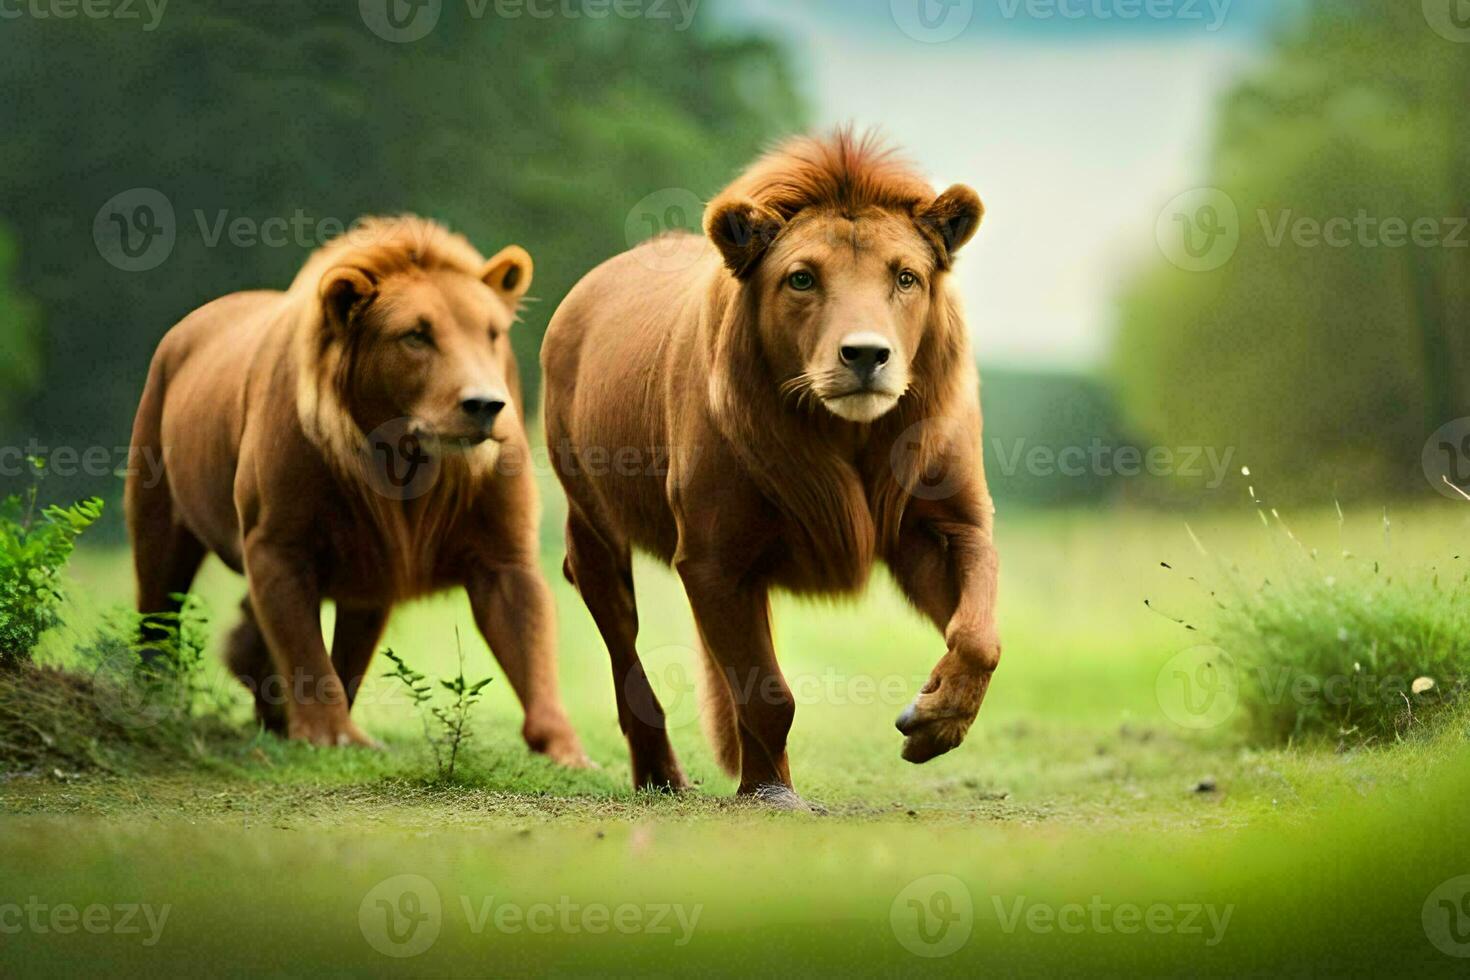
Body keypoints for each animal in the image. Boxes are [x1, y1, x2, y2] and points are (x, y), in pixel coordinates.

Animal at [124, 215, 585, 758]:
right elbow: (304, 649)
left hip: (371, 572)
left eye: (491, 333)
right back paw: (157, 697)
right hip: (158, 515)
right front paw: (332, 736)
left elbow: (530, 648)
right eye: (416, 336)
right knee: (157, 613)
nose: (486, 404)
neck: (404, 460)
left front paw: (567, 752)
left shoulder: (501, 554)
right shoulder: (277, 544)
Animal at [546, 130, 1005, 805]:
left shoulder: (950, 526)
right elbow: (767, 694)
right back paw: (661, 773)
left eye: (906, 277)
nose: (866, 354)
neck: (847, 433)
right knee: (622, 644)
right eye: (802, 278)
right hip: (593, 523)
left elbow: (980, 636)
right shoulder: (712, 557)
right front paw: (769, 792)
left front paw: (934, 723)